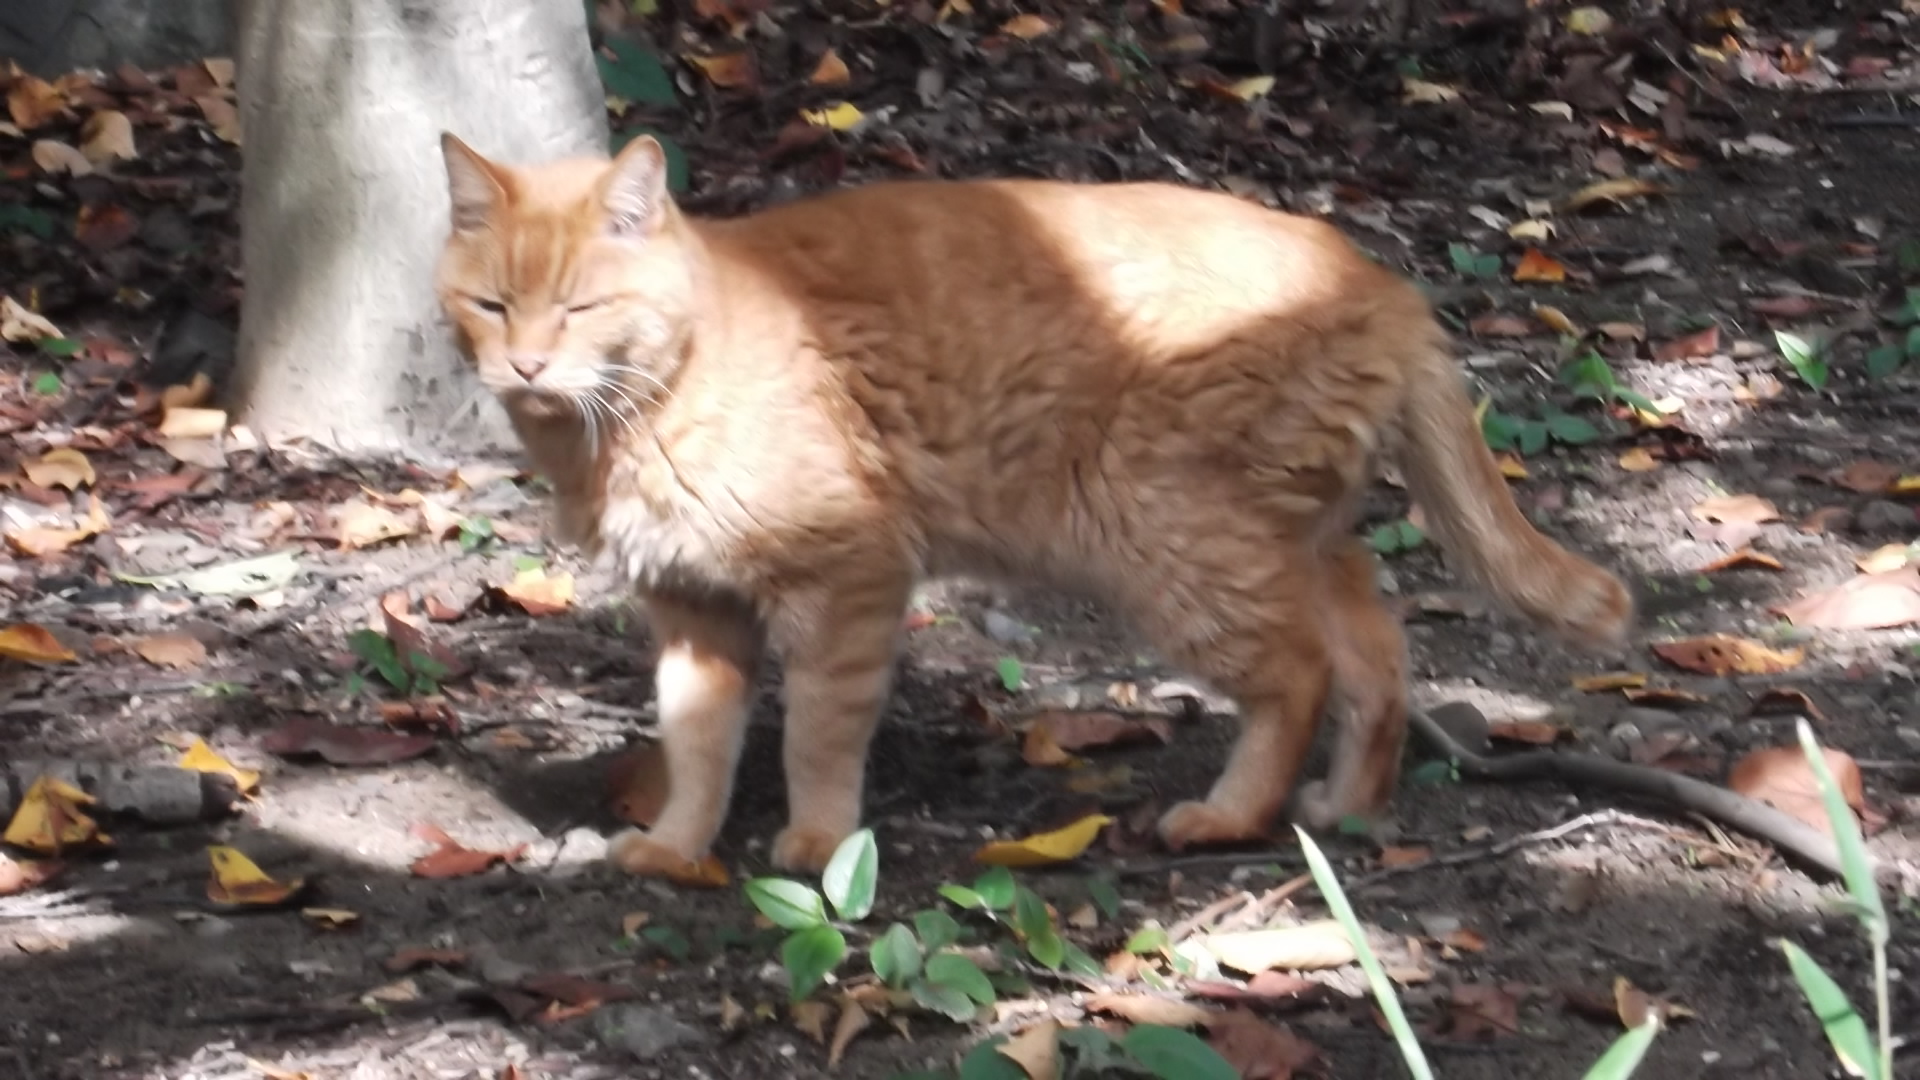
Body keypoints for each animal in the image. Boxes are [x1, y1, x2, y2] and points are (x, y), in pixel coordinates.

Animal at [434, 132, 1633, 878]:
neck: (632, 419)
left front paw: (820, 850)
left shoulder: (848, 578)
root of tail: (1384, 284)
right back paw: (1343, 806)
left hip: (1176, 546)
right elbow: (697, 745)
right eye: (490, 305)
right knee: (1376, 655)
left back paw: (1228, 818)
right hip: (1284, 539)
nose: (527, 366)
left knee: (1300, 674)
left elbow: (817, 734)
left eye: (581, 308)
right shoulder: (695, 612)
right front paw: (681, 849)